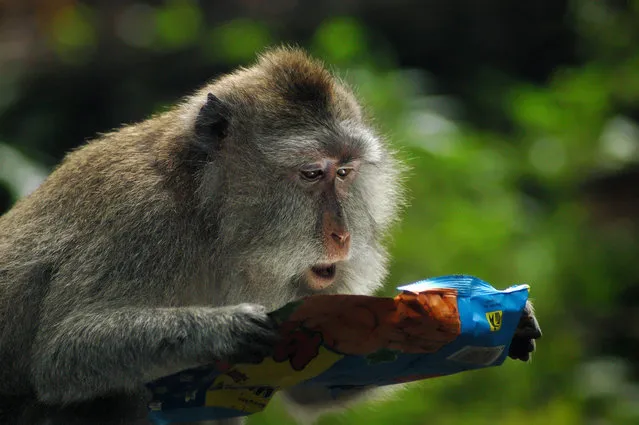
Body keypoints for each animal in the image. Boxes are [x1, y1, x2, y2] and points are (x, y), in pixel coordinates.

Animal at [0, 44, 544, 422]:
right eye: (311, 173)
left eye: (344, 172)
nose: (342, 237)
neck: (208, 218)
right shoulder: (137, 222)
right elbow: (63, 354)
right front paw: (225, 328)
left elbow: (313, 382)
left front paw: (506, 321)